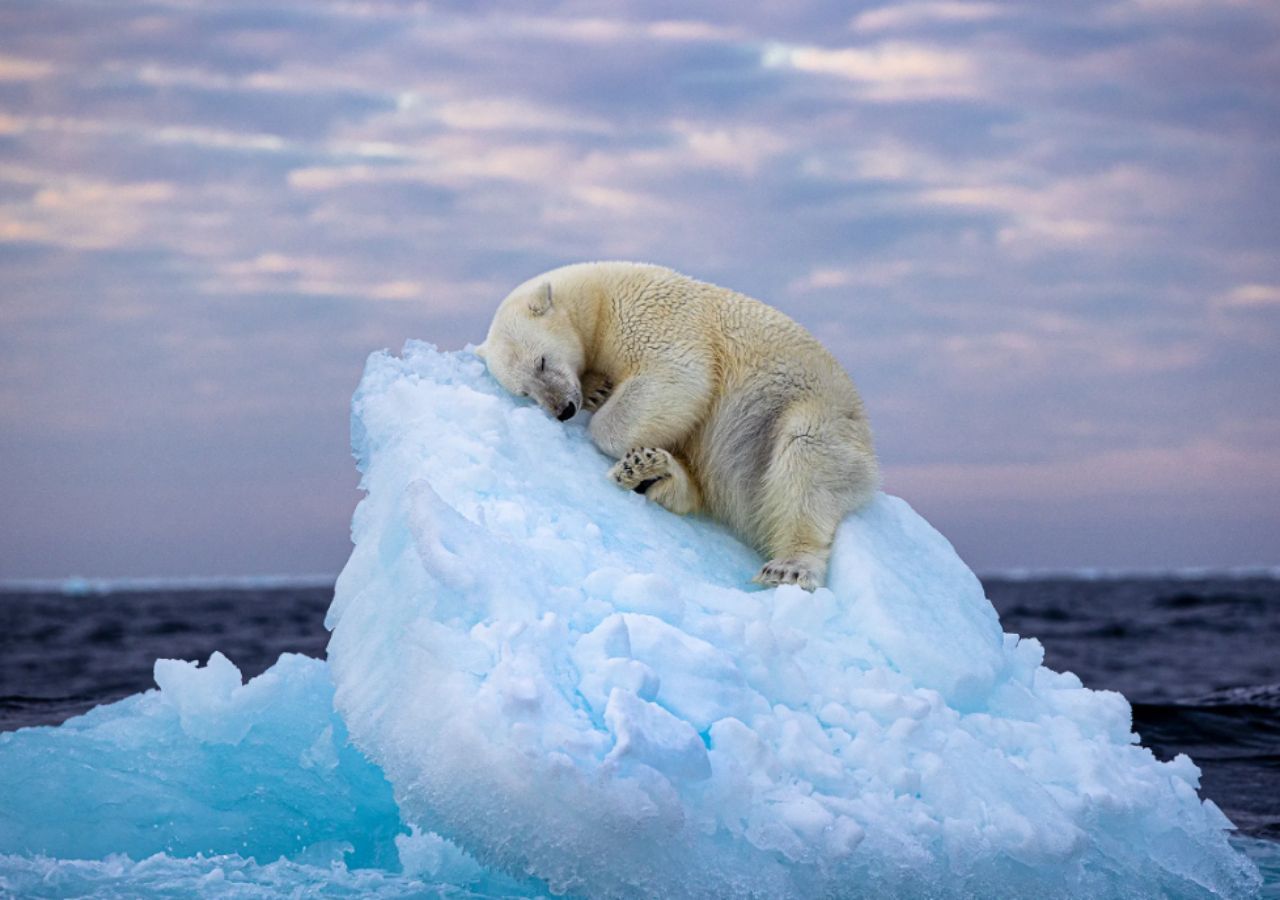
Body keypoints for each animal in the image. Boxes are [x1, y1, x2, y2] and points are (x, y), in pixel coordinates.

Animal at [478, 262, 880, 591]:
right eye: (525, 391)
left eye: (542, 362)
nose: (563, 409)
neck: (599, 296)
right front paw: (598, 390)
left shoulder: (651, 316)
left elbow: (678, 377)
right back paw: (650, 472)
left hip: (810, 413)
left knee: (805, 462)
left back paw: (789, 566)